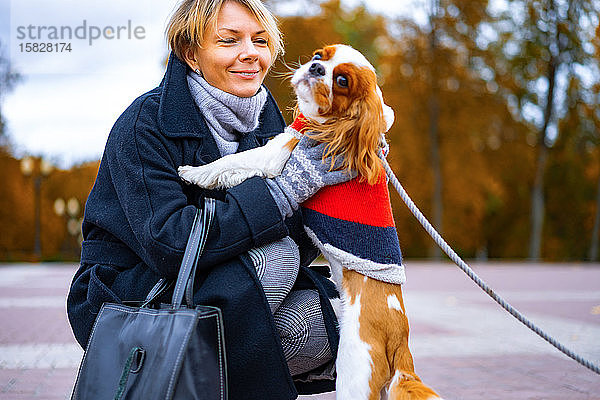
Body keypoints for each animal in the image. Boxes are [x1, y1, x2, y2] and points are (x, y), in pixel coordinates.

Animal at [178, 44, 440, 400]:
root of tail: (401, 343)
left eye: (342, 81)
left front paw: (193, 173)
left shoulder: (275, 154)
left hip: (354, 373)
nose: (316, 68)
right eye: (319, 56)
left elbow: (231, 162)